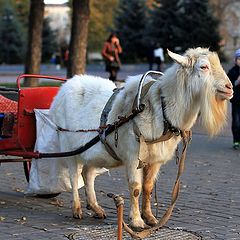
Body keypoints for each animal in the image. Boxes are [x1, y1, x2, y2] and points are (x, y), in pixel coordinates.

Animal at [50, 47, 232, 230]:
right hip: (69, 147)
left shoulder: (155, 160)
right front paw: (137, 221)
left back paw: (96, 208)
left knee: (87, 174)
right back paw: (77, 209)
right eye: (204, 66)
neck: (159, 109)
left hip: (94, 154)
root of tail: (63, 88)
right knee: (74, 176)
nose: (229, 87)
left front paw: (150, 218)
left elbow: (148, 187)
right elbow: (136, 187)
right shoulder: (133, 157)